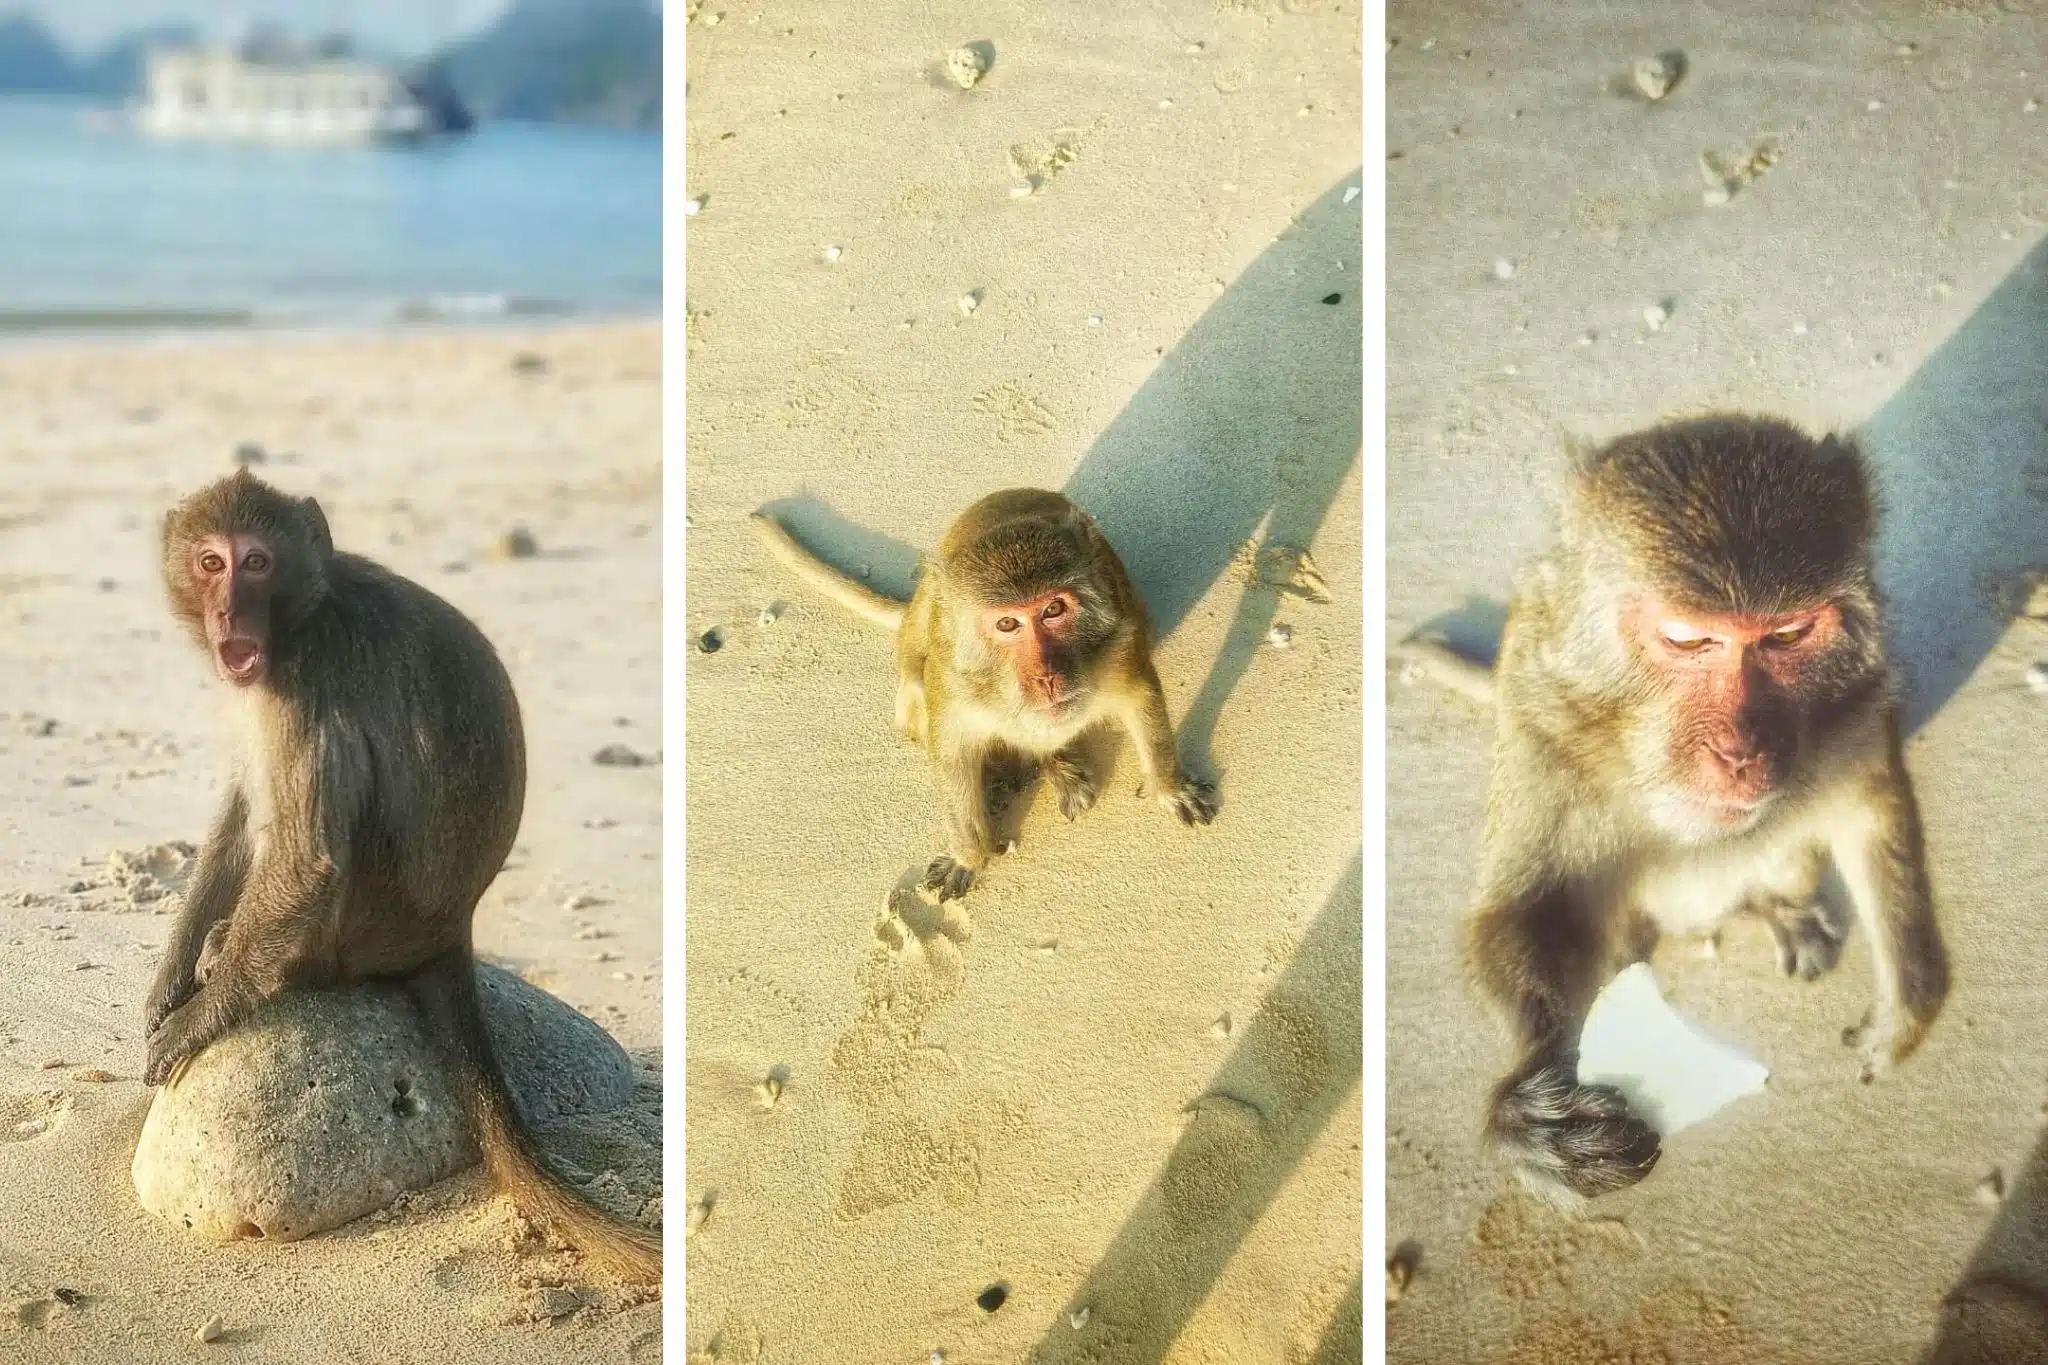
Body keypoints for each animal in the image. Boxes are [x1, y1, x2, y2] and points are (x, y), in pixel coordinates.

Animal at [141, 469, 661, 1282]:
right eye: (211, 562)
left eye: (256, 562)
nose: (230, 610)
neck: (303, 617)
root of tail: (453, 932)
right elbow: (239, 812)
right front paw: (169, 981)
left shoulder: (307, 688)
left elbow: (305, 857)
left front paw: (198, 1017)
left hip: (362, 931)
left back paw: (275, 971)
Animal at [751, 488, 1216, 900]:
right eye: (1008, 624)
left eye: (1053, 610)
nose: (1046, 677)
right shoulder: (953, 682)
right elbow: (952, 752)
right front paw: (968, 856)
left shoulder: (1119, 644)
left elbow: (1141, 698)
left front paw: (1168, 785)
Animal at [1460, 414, 1948, 1203]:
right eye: (1688, 638)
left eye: (1787, 634)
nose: (1740, 750)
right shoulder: (1536, 708)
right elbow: (1529, 905)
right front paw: (1530, 1106)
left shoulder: (1861, 696)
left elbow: (1868, 815)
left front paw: (1907, 1003)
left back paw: (1771, 907)